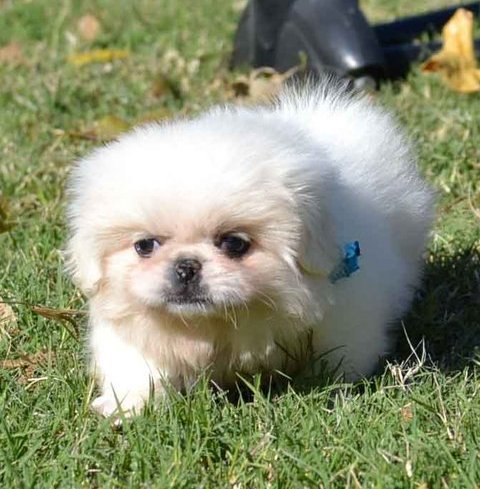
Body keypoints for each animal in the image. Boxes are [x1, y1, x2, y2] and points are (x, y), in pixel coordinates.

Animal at [64, 79, 436, 416]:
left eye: (234, 244)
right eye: (144, 246)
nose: (186, 266)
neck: (215, 326)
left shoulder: (348, 314)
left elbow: (339, 356)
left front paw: (323, 389)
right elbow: (137, 366)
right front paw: (127, 406)